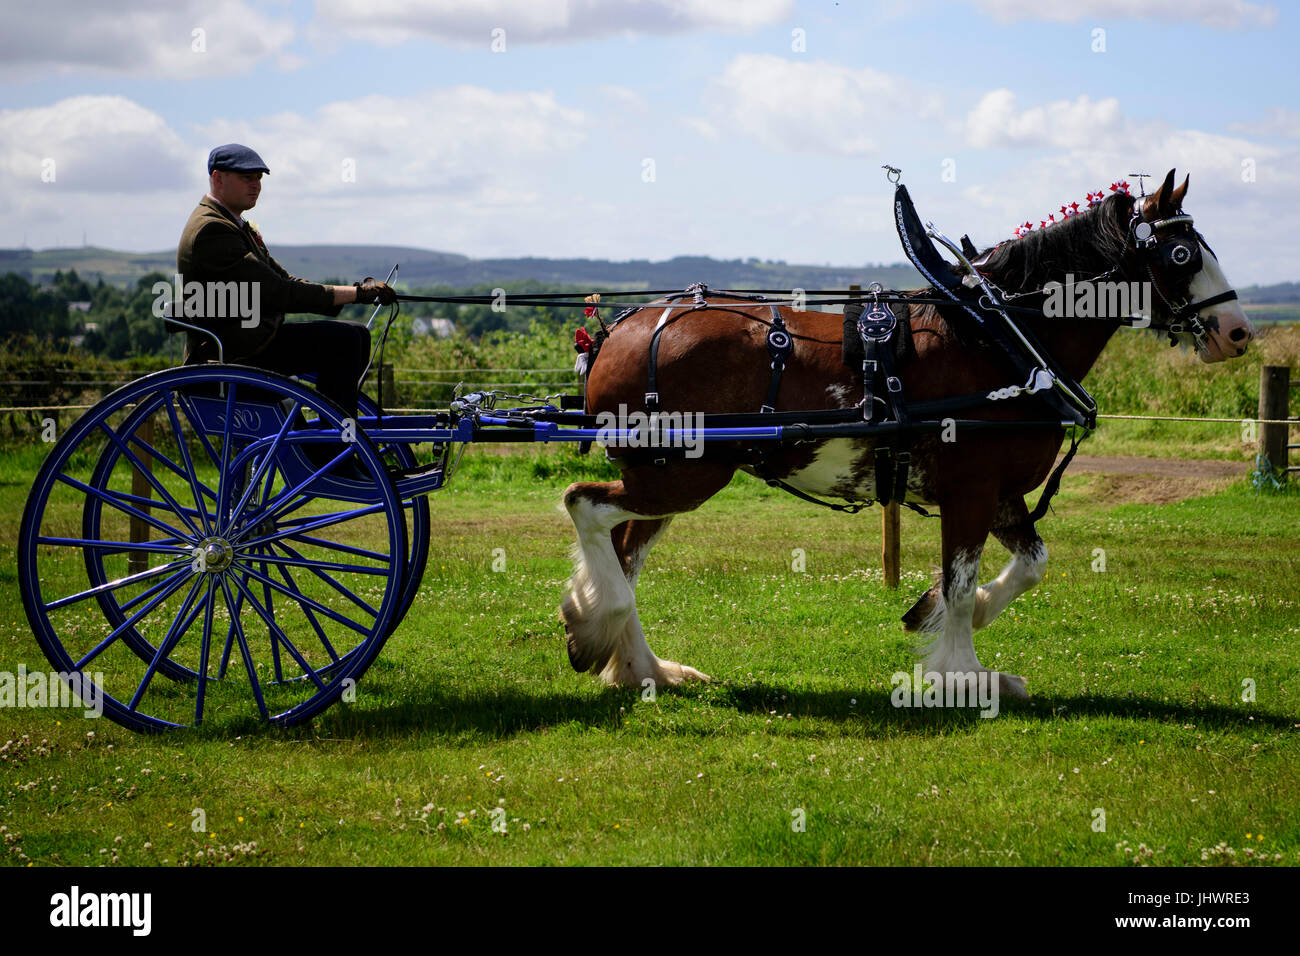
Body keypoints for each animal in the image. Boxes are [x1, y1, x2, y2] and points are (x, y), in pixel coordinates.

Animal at [556, 167, 1248, 697]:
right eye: (1183, 254)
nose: (1238, 333)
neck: (995, 337)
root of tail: (622, 327)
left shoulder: (1000, 492)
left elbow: (1029, 566)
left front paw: (933, 613)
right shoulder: (971, 489)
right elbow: (964, 584)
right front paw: (963, 676)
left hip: (669, 477)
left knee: (626, 553)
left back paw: (640, 667)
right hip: (680, 473)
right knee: (586, 507)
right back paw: (598, 625)